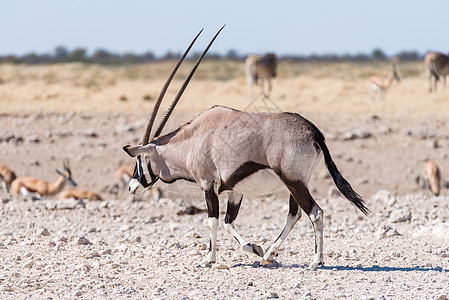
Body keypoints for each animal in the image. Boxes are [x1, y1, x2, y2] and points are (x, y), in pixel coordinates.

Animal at [120, 25, 368, 270]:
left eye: (139, 160)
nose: (132, 187)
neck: (193, 140)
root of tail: (312, 131)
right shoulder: (234, 190)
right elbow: (228, 222)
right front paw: (254, 248)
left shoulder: (208, 185)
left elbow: (213, 221)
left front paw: (209, 259)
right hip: (297, 183)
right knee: (294, 214)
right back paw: (268, 254)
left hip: (294, 182)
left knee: (315, 212)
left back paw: (316, 261)